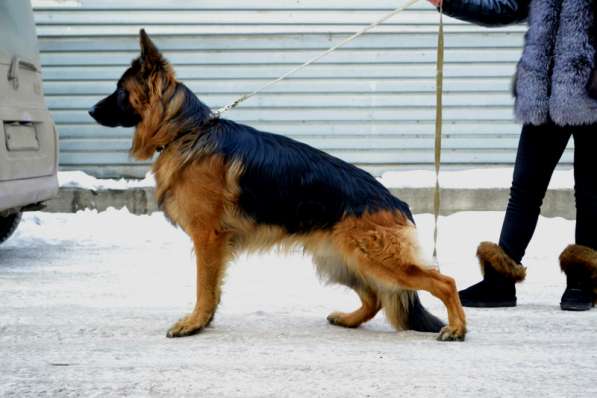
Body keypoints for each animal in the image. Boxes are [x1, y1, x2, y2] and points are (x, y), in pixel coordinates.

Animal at [89, 30, 466, 342]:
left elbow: (204, 287)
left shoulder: (208, 238)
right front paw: (204, 321)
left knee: (445, 282)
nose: (91, 110)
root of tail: (395, 201)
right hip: (341, 260)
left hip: (375, 260)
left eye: (120, 91)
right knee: (375, 297)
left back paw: (457, 328)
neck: (186, 130)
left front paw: (195, 323)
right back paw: (349, 319)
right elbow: (211, 288)